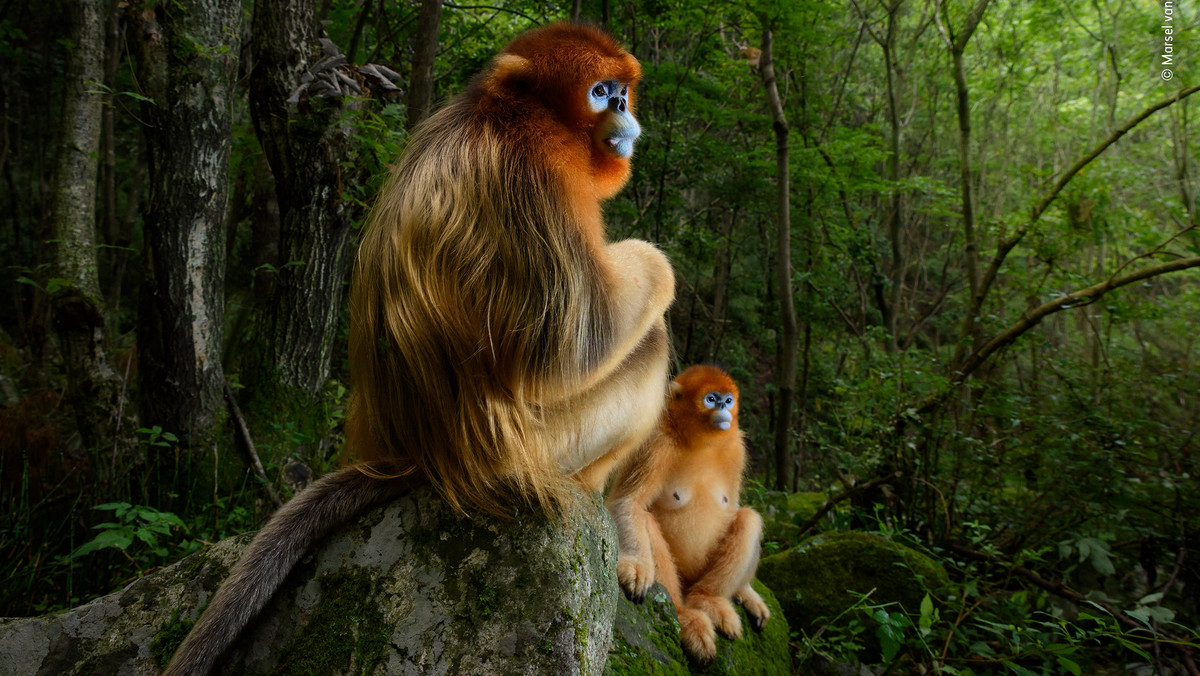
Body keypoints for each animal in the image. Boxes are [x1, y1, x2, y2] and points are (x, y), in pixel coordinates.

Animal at [166, 23, 676, 672]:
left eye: (621, 91)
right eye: (600, 91)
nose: (622, 108)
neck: (502, 113)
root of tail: (414, 456)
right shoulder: (537, 169)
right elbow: (574, 346)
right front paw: (655, 262)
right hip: (541, 446)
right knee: (648, 341)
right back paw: (589, 490)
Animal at [609, 365, 768, 662]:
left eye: (728, 400)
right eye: (711, 399)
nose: (723, 407)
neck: (702, 443)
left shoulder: (737, 449)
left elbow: (733, 507)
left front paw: (747, 592)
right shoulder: (656, 443)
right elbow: (627, 503)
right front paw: (635, 566)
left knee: (748, 519)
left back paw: (709, 599)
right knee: (646, 520)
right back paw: (685, 617)